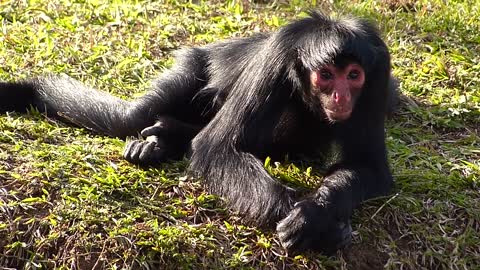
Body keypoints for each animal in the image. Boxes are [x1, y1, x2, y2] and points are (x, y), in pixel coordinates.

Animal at [0, 11, 394, 254]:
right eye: (325, 75)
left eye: (353, 75)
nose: (341, 96)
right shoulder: (278, 56)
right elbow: (214, 147)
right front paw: (314, 224)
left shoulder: (378, 73)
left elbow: (370, 168)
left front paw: (317, 215)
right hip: (193, 66)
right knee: (130, 117)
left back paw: (165, 137)